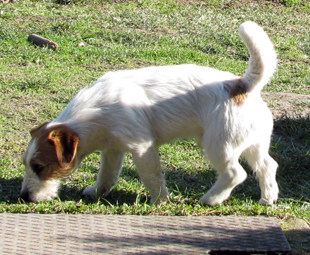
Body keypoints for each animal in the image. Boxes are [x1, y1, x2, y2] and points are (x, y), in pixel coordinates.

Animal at [20, 21, 280, 205]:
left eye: (39, 167)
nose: (23, 197)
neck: (94, 113)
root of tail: (242, 86)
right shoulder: (113, 149)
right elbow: (107, 175)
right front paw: (97, 192)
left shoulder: (141, 147)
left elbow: (151, 177)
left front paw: (159, 201)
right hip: (252, 145)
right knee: (268, 166)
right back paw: (268, 199)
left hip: (219, 146)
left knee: (235, 174)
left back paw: (210, 199)